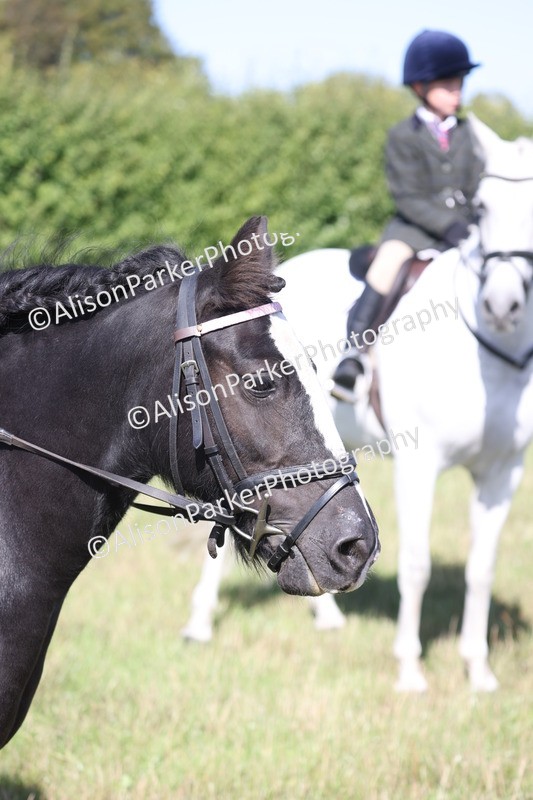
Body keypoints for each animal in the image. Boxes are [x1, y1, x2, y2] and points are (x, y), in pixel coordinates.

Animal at [183, 117, 533, 692]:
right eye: (481, 209)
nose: (503, 305)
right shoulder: (420, 464)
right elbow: (416, 564)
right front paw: (410, 669)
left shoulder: (503, 472)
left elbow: (481, 569)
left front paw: (478, 670)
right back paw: (199, 624)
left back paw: (326, 615)